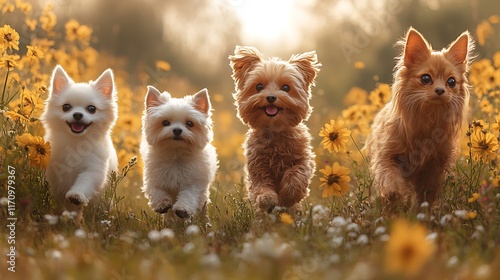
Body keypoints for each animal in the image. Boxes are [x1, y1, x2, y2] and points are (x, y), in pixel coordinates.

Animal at [41, 65, 118, 214]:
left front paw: (76, 195)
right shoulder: (54, 170)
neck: (76, 142)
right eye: (66, 107)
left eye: (92, 109)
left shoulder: (94, 169)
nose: (77, 114)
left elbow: (84, 182)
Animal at [142, 86, 218, 221]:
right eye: (165, 122)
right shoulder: (154, 178)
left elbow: (188, 195)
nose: (177, 130)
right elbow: (156, 190)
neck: (176, 154)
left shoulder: (194, 182)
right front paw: (162, 204)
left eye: (190, 123)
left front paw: (182, 210)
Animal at [229, 46, 320, 212]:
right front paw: (267, 198)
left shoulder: (304, 159)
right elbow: (261, 185)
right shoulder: (257, 166)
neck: (275, 131)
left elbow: (297, 174)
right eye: (259, 86)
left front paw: (288, 195)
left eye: (286, 87)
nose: (271, 97)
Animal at [366, 27, 474, 212]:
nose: (440, 90)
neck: (428, 117)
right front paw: (394, 192)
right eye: (425, 79)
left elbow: (426, 195)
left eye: (451, 82)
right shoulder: (387, 156)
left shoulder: (434, 167)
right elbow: (390, 177)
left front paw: (421, 213)